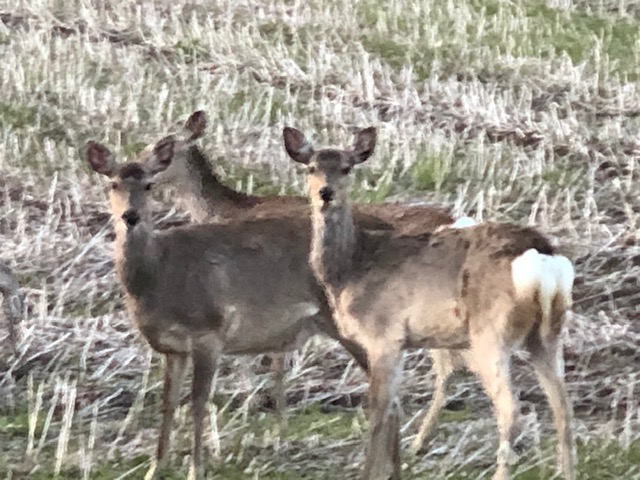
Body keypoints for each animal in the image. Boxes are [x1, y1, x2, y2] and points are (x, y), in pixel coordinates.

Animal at [284, 126, 576, 480]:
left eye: (346, 167)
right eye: (310, 167)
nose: (325, 193)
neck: (350, 269)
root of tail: (542, 260)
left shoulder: (384, 335)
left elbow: (377, 410)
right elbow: (390, 407)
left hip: (491, 334)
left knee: (511, 412)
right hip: (547, 335)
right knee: (563, 410)